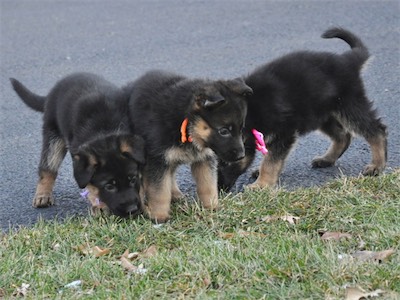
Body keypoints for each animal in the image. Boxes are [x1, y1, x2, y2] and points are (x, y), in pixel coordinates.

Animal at [10, 73, 146, 218]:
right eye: (109, 186)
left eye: (132, 179)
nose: (132, 210)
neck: (104, 131)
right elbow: (90, 186)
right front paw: (99, 206)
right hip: (53, 137)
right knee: (48, 168)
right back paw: (43, 195)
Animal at [129, 70, 253, 223]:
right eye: (224, 131)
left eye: (241, 129)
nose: (241, 156)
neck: (187, 123)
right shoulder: (158, 159)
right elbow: (159, 191)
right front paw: (159, 216)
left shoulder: (205, 158)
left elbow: (208, 185)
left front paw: (212, 208)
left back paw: (175, 194)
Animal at [219, 27, 388, 190]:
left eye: (225, 163)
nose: (220, 190)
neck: (250, 111)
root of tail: (347, 60)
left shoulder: (283, 133)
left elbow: (271, 161)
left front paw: (261, 184)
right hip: (321, 114)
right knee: (343, 135)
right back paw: (327, 159)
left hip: (349, 106)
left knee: (376, 130)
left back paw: (377, 166)